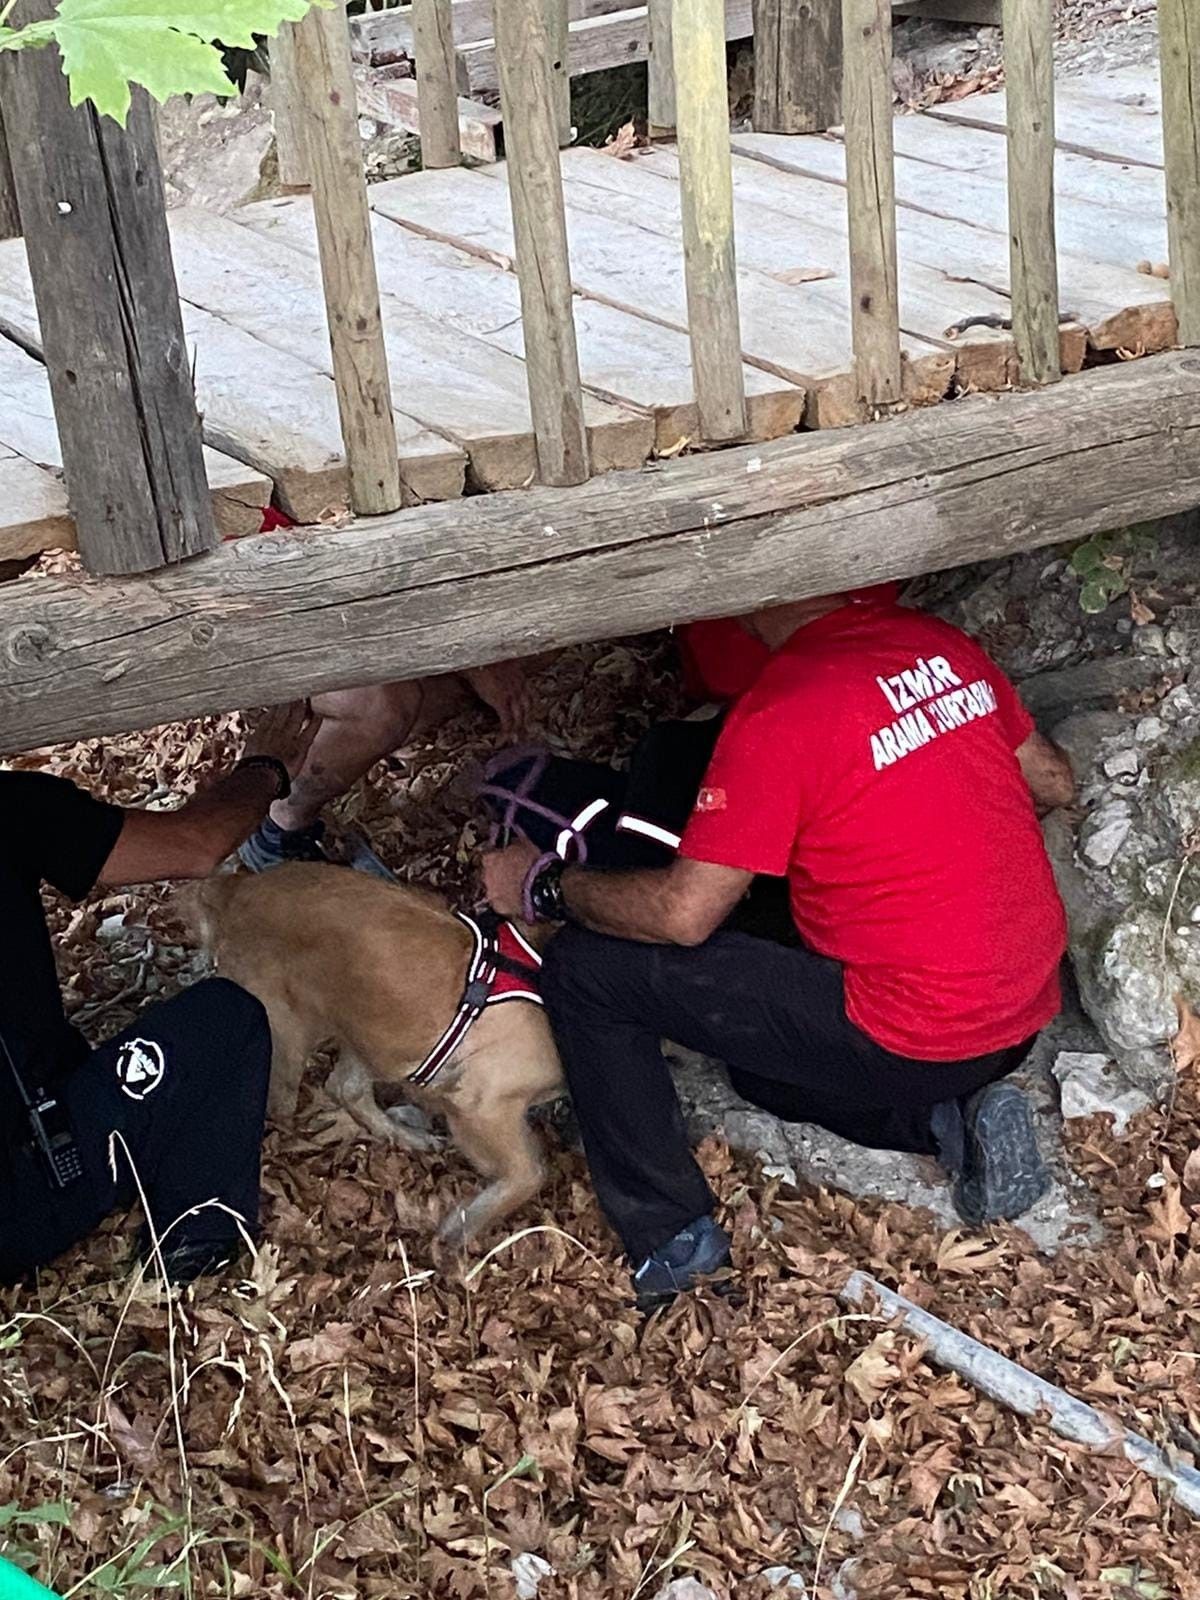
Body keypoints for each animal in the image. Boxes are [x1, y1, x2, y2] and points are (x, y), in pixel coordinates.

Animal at [186, 864, 564, 1248]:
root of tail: (238, 887)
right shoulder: (480, 1107)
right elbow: (532, 1172)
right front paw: (462, 1226)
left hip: (370, 1029)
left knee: (345, 1088)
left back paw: (405, 1136)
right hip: (291, 1032)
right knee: (285, 1107)